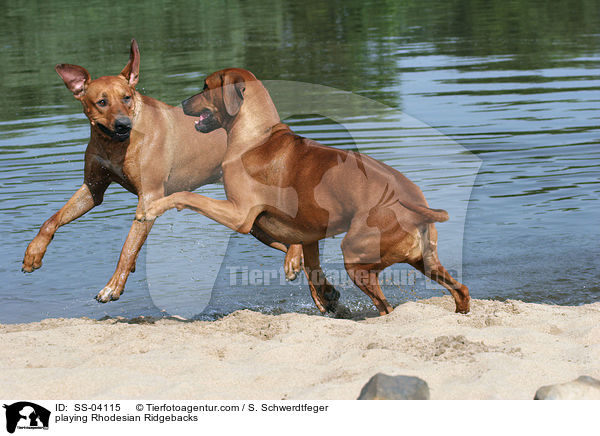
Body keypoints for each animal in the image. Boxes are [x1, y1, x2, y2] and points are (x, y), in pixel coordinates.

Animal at [21, 43, 302, 304]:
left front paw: (113, 286)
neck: (115, 144)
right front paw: (33, 253)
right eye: (101, 102)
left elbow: (127, 247)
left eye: (126, 97)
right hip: (255, 223)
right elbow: (52, 220)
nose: (123, 124)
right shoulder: (93, 187)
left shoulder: (150, 196)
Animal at [143, 67, 472, 314]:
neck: (256, 135)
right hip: (425, 261)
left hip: (356, 256)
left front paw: (154, 207)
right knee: (461, 289)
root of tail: (413, 202)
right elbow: (310, 266)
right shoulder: (305, 230)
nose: (182, 102)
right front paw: (321, 292)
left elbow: (187, 196)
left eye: (205, 86)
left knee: (386, 308)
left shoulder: (239, 216)